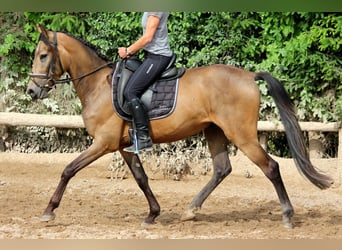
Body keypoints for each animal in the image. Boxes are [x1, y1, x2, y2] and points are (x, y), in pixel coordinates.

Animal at [27, 24, 334, 229]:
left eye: (43, 56)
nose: (31, 91)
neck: (99, 86)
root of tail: (248, 75)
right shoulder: (124, 146)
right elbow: (141, 178)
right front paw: (153, 213)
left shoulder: (103, 143)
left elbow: (68, 170)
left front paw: (49, 210)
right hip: (214, 131)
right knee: (222, 168)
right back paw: (190, 210)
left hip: (242, 134)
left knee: (270, 167)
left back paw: (287, 216)